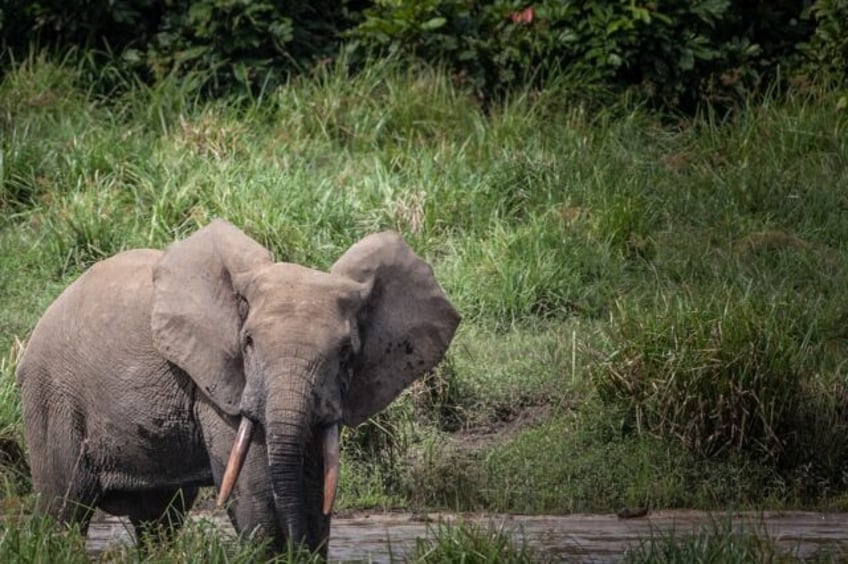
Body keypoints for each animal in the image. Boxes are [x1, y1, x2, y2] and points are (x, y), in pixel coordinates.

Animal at [16, 220, 460, 556]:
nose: (296, 551)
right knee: (64, 508)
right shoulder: (217, 384)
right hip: (51, 394)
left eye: (348, 354)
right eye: (247, 342)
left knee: (159, 518)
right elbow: (253, 486)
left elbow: (314, 481)